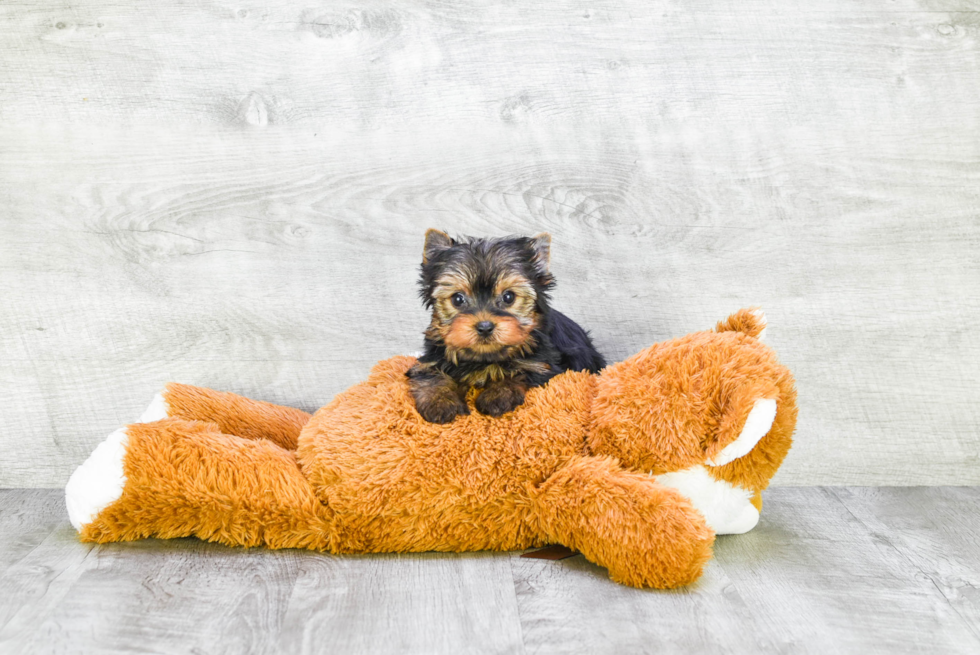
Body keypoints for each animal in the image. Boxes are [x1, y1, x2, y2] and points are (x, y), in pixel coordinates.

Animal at [402, 231, 600, 426]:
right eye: (457, 299)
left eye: (508, 297)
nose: (484, 327)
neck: (484, 357)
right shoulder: (430, 360)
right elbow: (431, 375)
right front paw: (440, 402)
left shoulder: (542, 365)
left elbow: (519, 373)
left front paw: (496, 396)